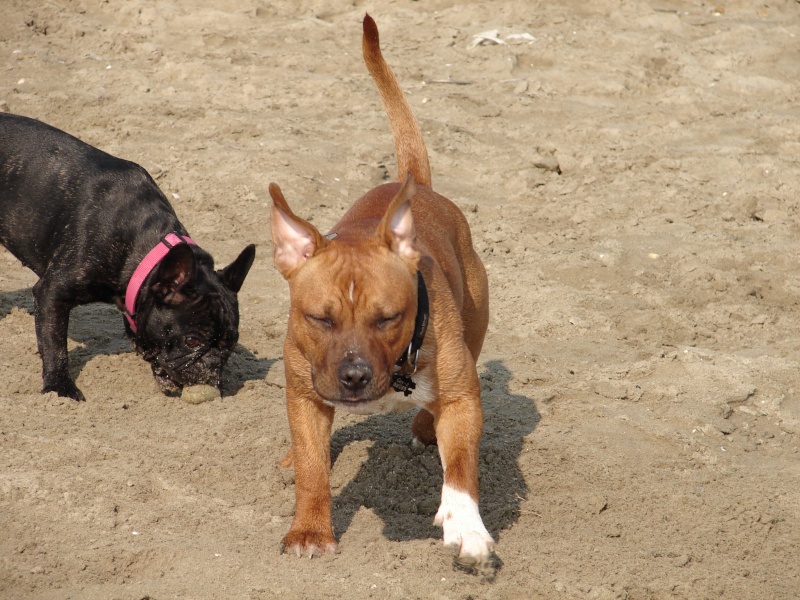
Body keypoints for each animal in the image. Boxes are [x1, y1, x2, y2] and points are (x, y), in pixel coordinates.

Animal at [0, 114, 255, 400]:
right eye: (192, 340)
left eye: (231, 344)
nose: (211, 372)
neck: (142, 246)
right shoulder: (52, 294)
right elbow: (55, 343)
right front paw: (60, 388)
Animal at [270, 12, 494, 568]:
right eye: (320, 318)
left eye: (388, 317)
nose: (353, 376)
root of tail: (417, 185)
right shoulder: (305, 395)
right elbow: (313, 468)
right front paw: (310, 529)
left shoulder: (463, 400)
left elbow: (461, 470)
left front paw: (466, 527)